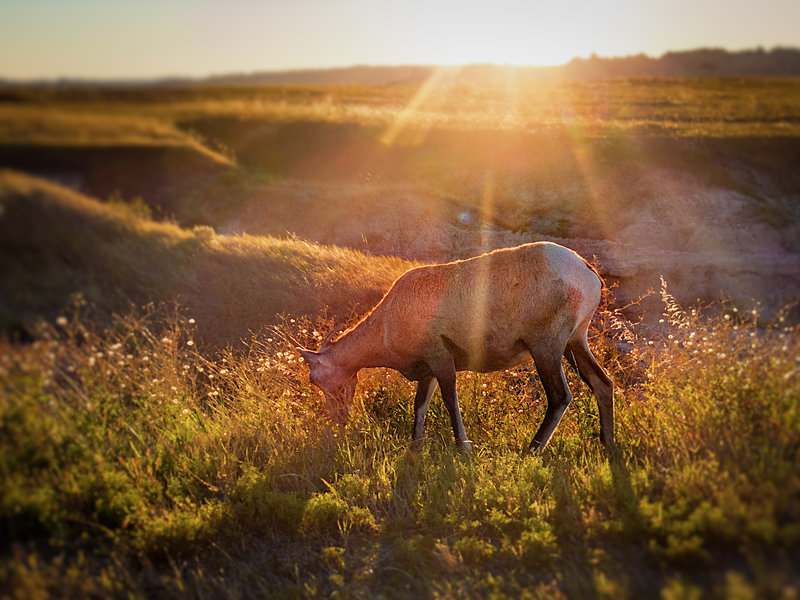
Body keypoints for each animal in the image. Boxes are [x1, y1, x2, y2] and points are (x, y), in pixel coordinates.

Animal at [296, 241, 616, 452]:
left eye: (315, 378)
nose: (339, 419)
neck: (388, 319)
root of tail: (587, 272)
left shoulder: (441, 358)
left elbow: (450, 400)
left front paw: (464, 448)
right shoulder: (427, 370)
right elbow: (420, 405)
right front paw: (415, 447)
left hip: (546, 347)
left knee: (560, 396)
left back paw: (531, 451)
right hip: (575, 342)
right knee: (603, 383)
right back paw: (608, 445)